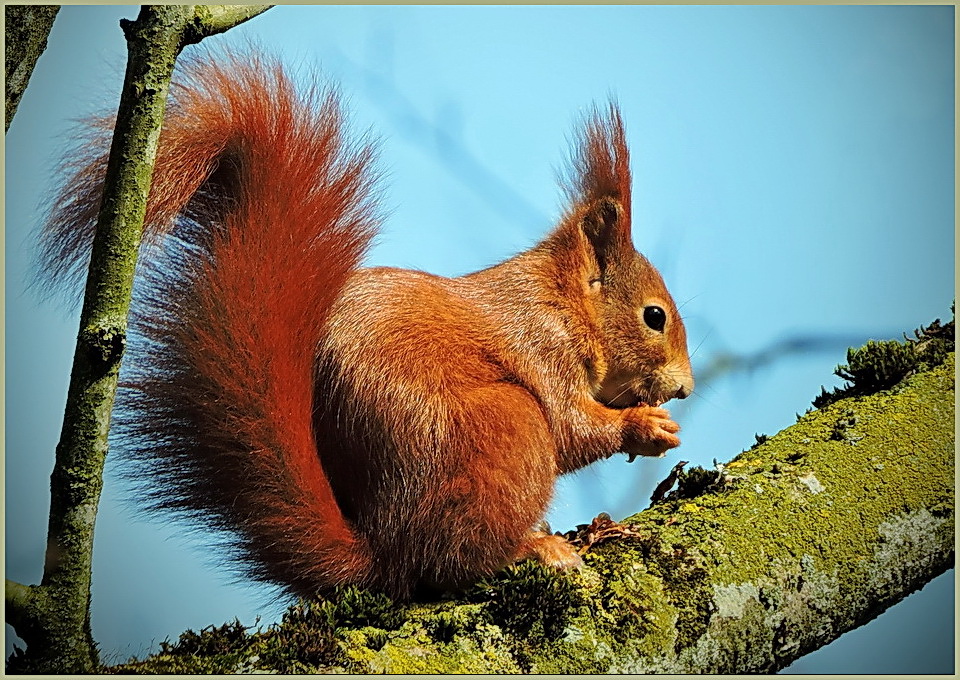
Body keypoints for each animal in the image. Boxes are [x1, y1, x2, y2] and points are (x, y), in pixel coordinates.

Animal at [38, 51, 694, 600]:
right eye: (654, 316)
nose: (686, 388)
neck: (561, 302)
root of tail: (382, 548)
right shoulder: (541, 345)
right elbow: (572, 426)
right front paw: (645, 427)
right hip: (507, 427)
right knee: (452, 560)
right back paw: (534, 548)